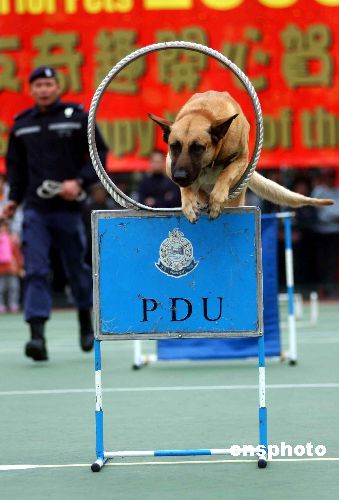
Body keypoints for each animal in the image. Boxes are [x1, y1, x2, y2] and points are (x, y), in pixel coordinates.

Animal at [149, 90, 334, 223]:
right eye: (174, 146)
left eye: (198, 148)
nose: (180, 176)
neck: (203, 113)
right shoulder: (170, 164)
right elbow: (186, 189)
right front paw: (188, 204)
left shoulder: (242, 159)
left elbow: (225, 174)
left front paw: (216, 200)